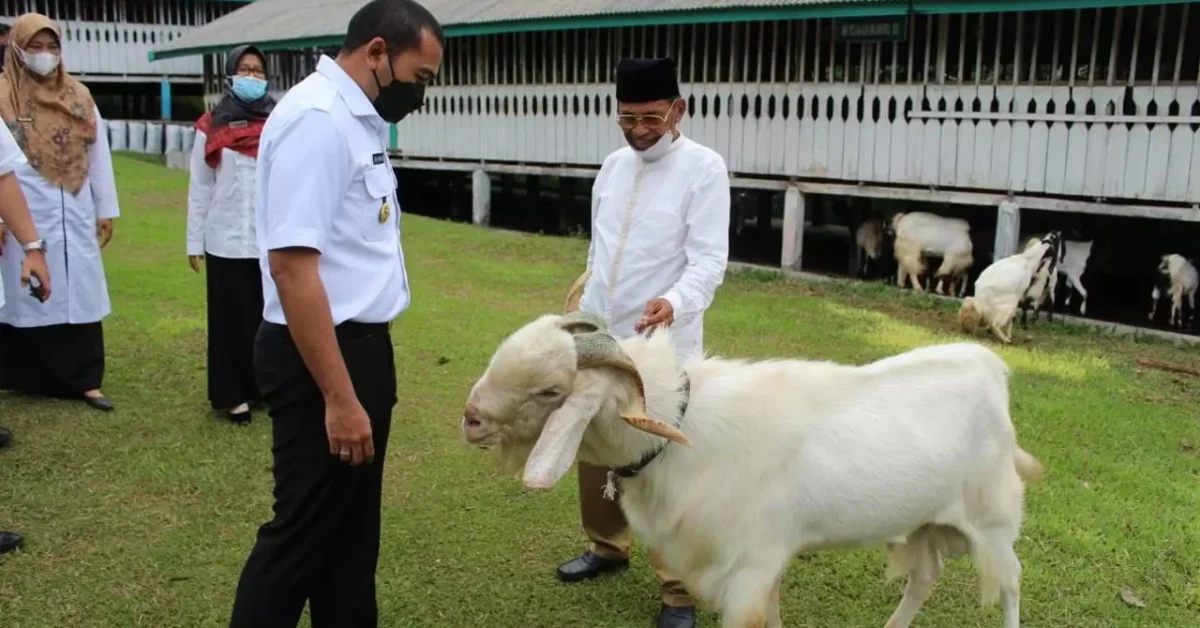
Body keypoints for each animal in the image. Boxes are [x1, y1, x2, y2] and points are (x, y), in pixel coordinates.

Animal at [458, 273, 1041, 628]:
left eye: (549, 391)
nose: (471, 418)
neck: (685, 432)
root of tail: (989, 367)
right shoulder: (761, 567)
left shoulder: (749, 568)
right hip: (924, 520)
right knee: (924, 579)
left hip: (993, 517)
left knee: (1012, 582)